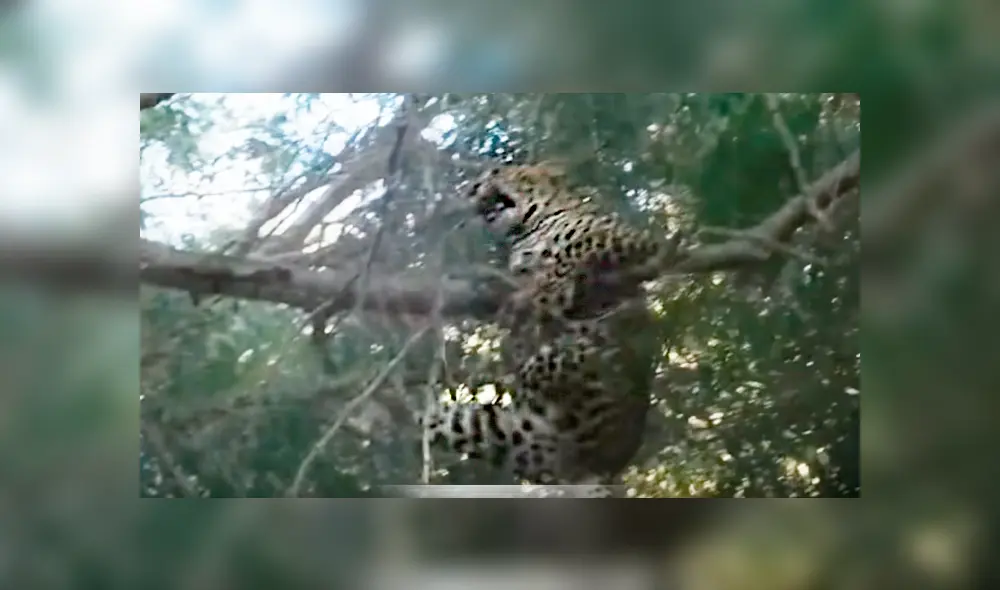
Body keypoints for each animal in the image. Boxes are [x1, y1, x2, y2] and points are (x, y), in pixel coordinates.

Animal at [420, 161, 680, 496]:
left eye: (497, 171)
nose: (471, 188)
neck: (528, 229)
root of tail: (604, 462)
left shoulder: (629, 239)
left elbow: (575, 248)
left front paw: (546, 287)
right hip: (504, 430)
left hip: (590, 363)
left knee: (545, 367)